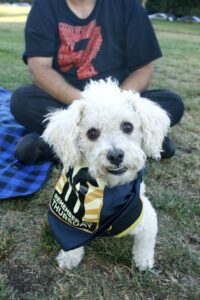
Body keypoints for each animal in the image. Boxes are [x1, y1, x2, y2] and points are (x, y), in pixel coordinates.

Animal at [42, 79, 170, 272]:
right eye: (92, 133)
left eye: (128, 127)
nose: (116, 156)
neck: (108, 190)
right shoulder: (70, 225)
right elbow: (70, 242)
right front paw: (69, 258)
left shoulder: (144, 216)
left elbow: (146, 242)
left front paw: (144, 261)